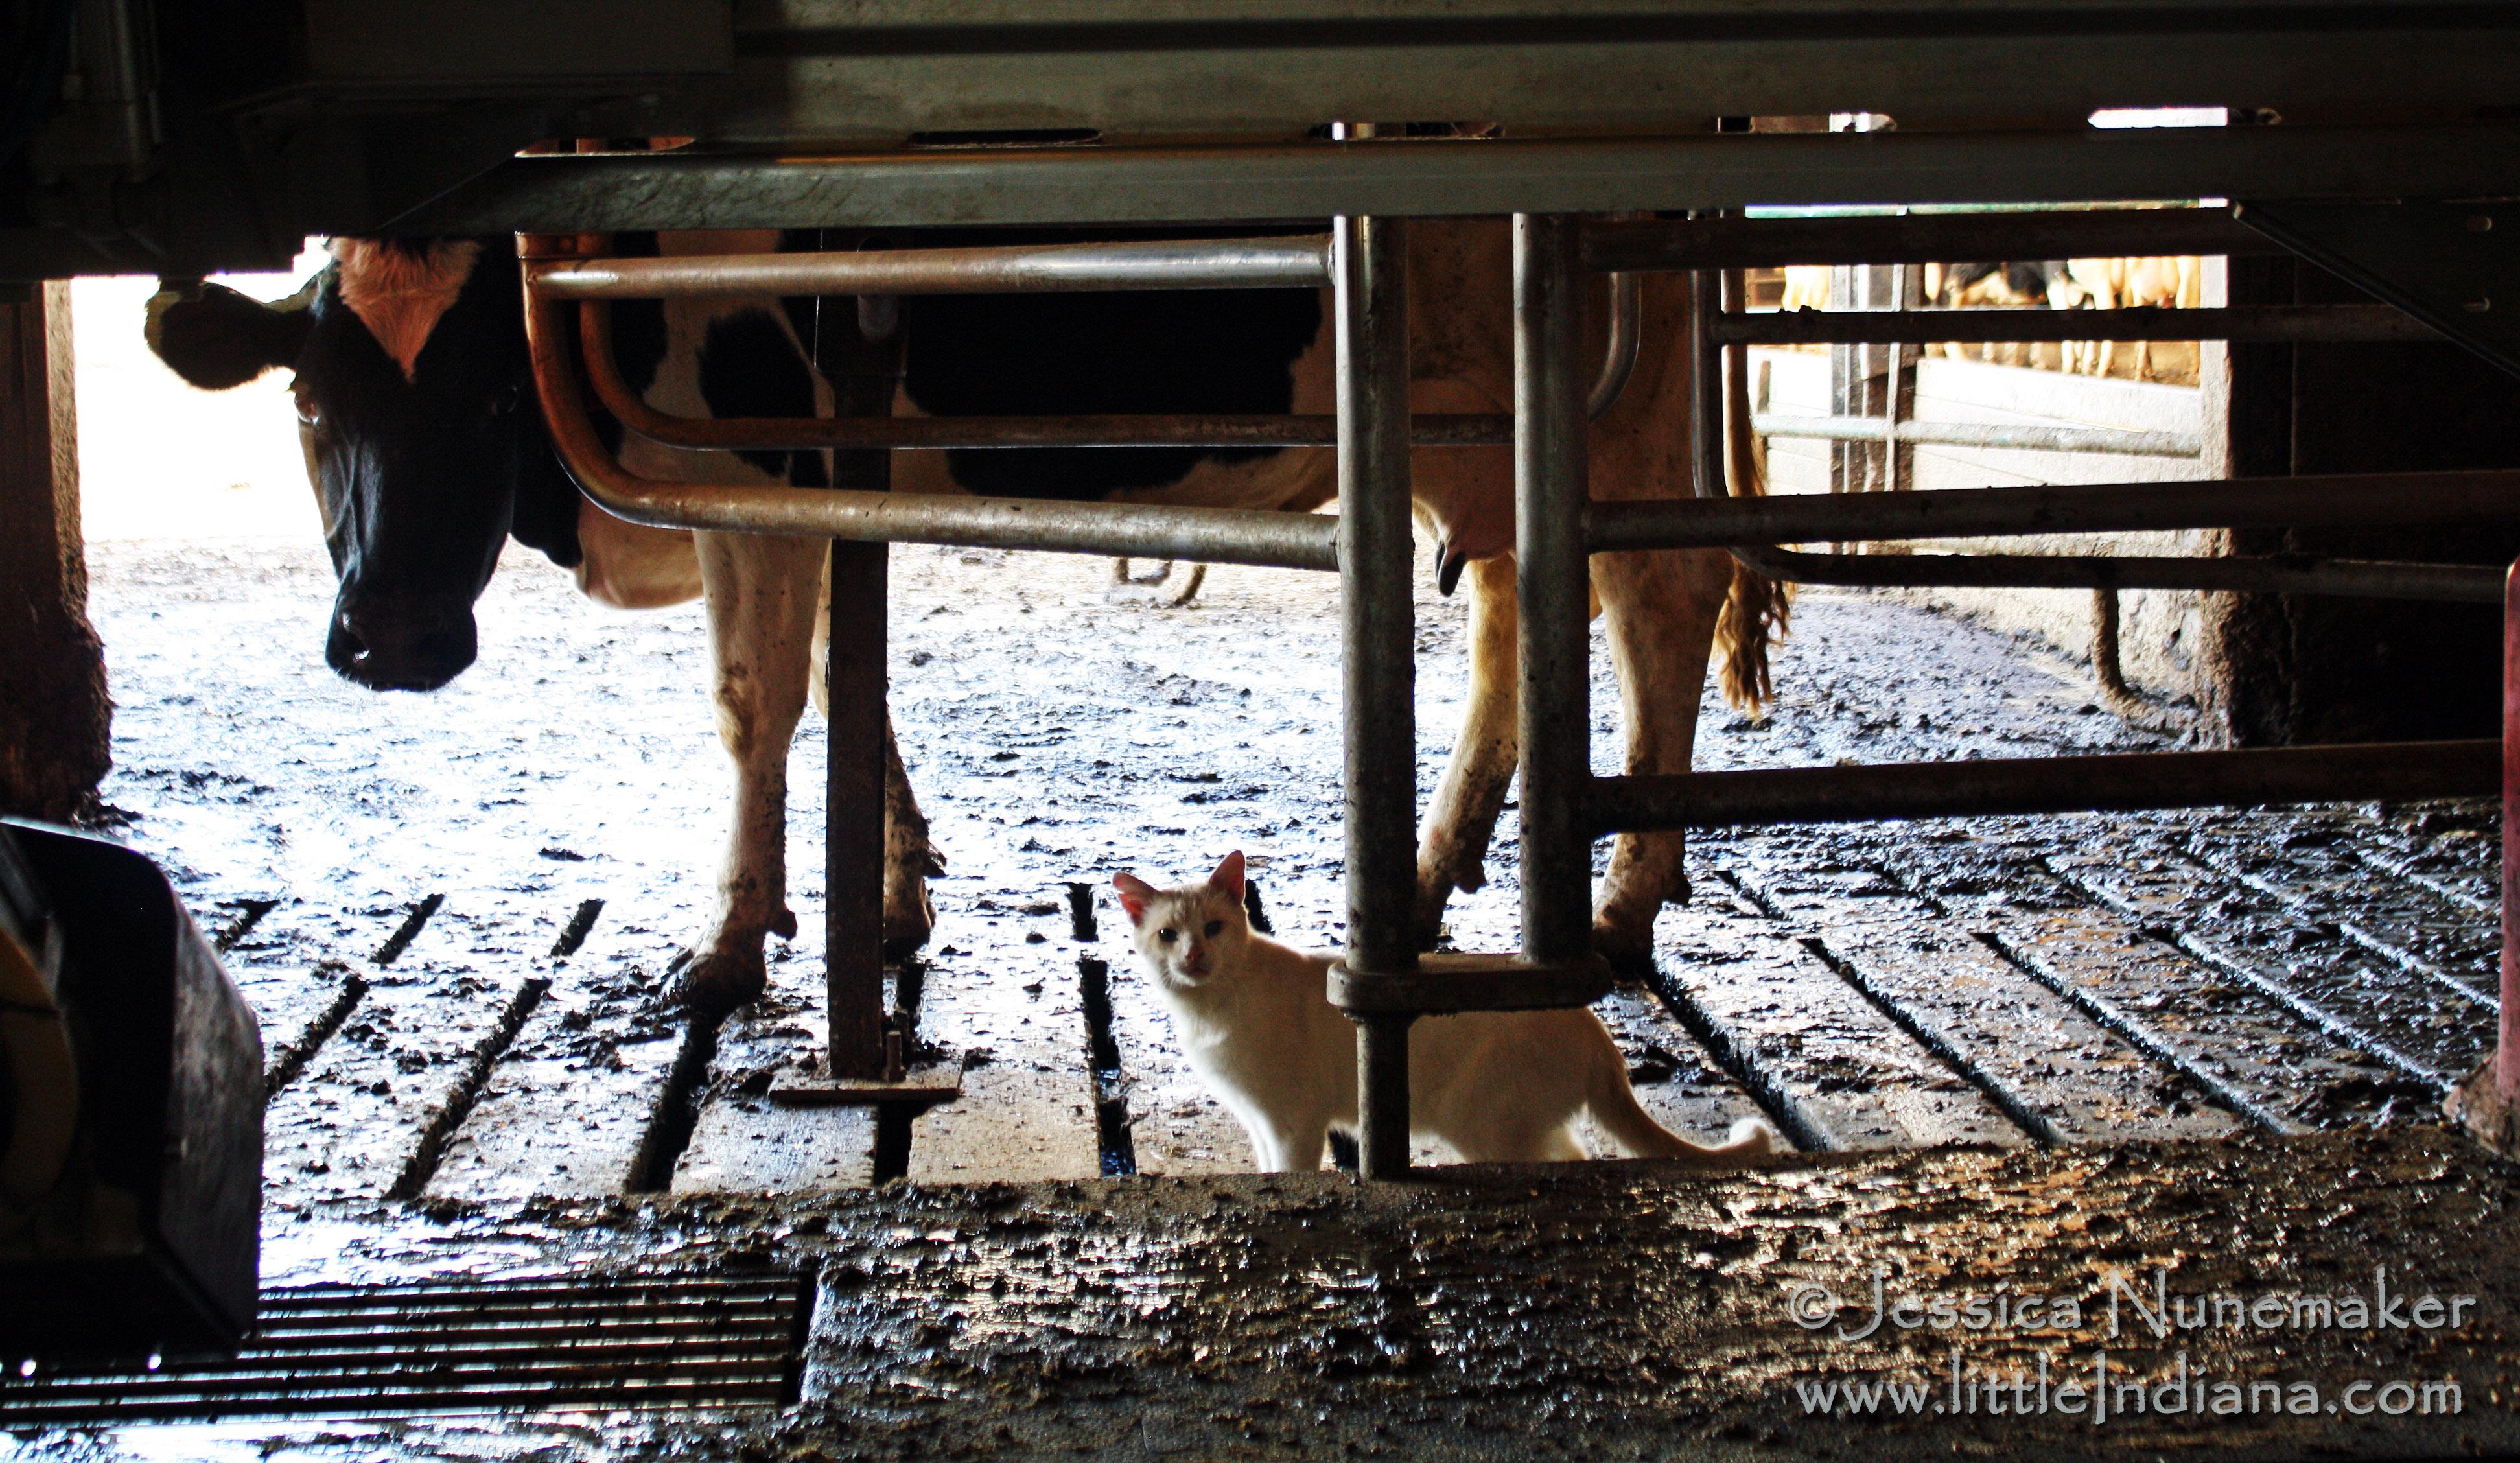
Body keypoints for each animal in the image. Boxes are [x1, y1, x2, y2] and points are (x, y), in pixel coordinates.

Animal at [147, 222, 1784, 1012]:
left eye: (492, 395)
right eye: (309, 401)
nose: (392, 639)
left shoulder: (751, 465)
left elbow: (757, 701)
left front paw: (730, 941)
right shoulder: (816, 487)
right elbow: (841, 673)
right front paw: (892, 881)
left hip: (1611, 405)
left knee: (1656, 600)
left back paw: (1625, 901)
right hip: (1485, 437)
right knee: (1520, 613)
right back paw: (1439, 873)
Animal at [1114, 851, 1784, 1168]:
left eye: (1214, 928)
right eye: (1169, 935)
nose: (1194, 954)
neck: (1209, 1010)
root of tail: (1597, 1034)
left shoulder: (1293, 1121)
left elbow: (1292, 1173)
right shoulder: (1258, 1120)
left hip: (1485, 1125)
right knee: (1577, 1155)